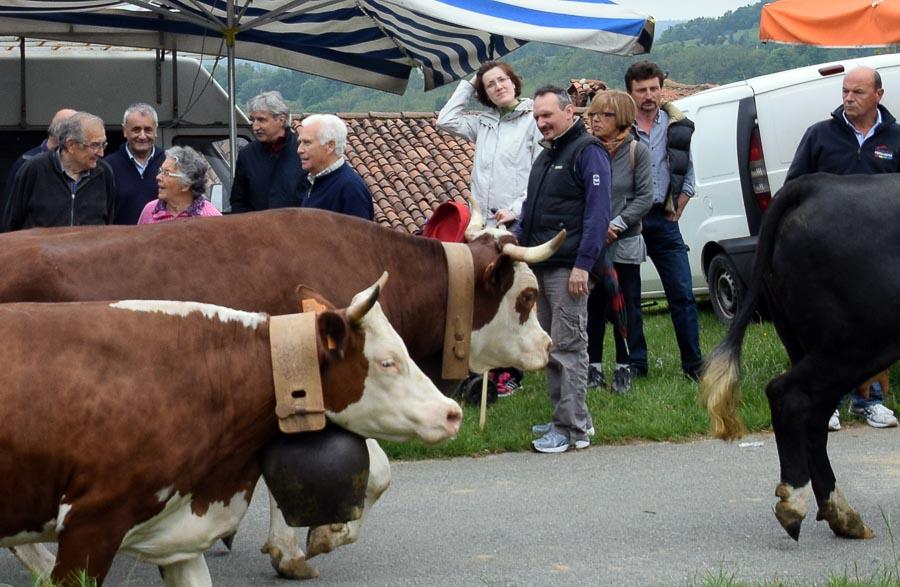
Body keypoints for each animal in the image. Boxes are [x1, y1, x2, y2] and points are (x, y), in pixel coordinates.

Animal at [704, 173, 900, 544]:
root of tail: (817, 183)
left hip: (809, 343)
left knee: (814, 417)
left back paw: (842, 515)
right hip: (857, 342)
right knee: (788, 395)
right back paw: (795, 503)